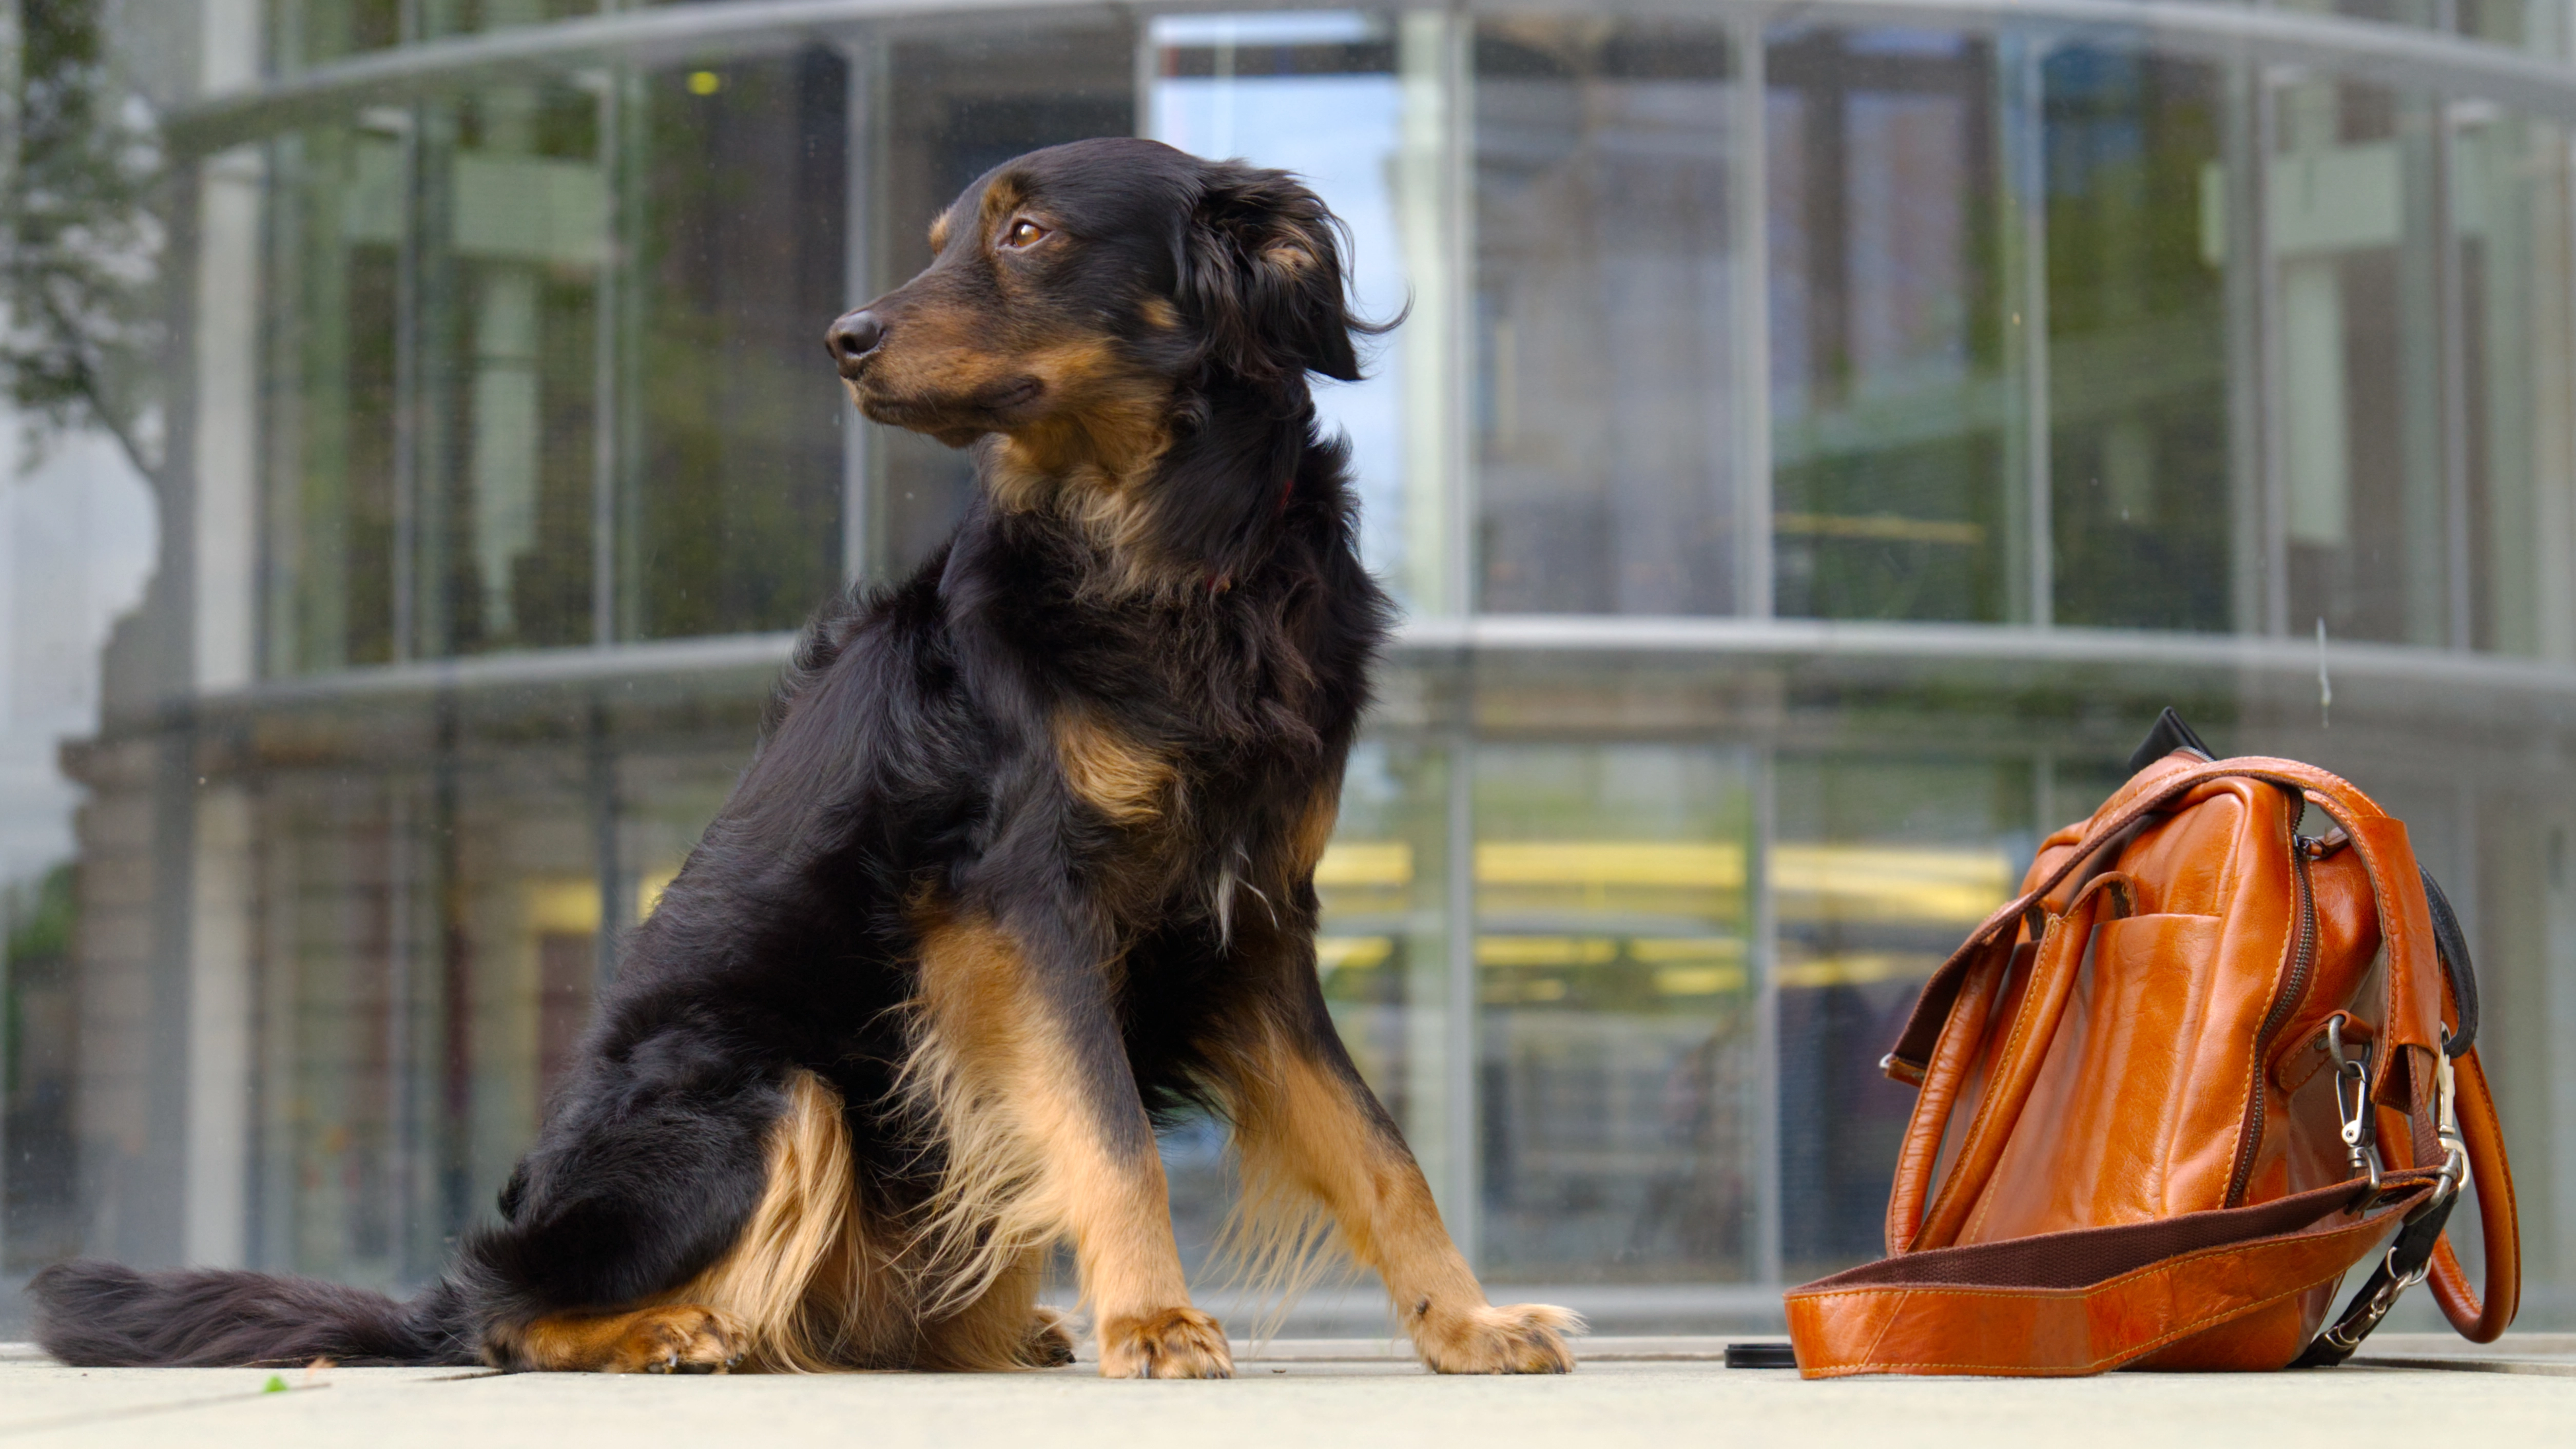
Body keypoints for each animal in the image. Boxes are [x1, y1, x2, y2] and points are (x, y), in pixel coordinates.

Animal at [35, 138, 1566, 1371]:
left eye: (1027, 232)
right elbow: (1112, 1132)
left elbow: (1380, 1152)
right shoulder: (1019, 904)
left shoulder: (1255, 927)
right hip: (760, 1087)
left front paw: (1468, 1321)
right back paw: (665, 1330)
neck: (1171, 554)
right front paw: (1154, 1318)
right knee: (509, 1316)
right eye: (943, 235)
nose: (846, 335)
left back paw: (993, 1327)